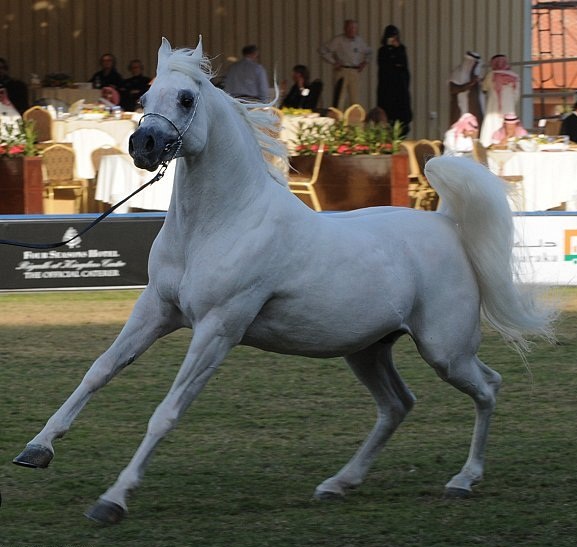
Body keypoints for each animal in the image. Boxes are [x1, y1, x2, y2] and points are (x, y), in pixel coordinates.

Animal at [13, 36, 552, 524]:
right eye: (144, 99)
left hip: (445, 350)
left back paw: (463, 479)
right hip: (368, 350)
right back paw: (338, 484)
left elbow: (166, 413)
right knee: (398, 405)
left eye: (185, 98)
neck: (219, 225)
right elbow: (99, 371)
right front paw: (36, 449)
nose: (143, 146)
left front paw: (112, 500)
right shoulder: (156, 311)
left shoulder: (218, 328)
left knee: (488, 387)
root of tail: (445, 225)